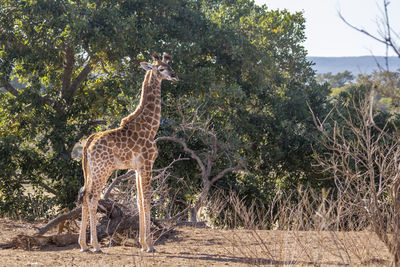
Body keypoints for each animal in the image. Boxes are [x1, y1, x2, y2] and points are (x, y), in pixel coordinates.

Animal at [78, 52, 178, 253]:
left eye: (170, 66)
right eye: (161, 68)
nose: (174, 76)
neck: (150, 128)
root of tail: (88, 143)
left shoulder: (137, 168)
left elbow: (139, 202)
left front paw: (143, 243)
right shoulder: (147, 163)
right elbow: (147, 200)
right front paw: (149, 245)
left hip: (90, 171)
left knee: (84, 196)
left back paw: (84, 245)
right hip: (103, 170)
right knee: (93, 199)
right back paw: (96, 246)